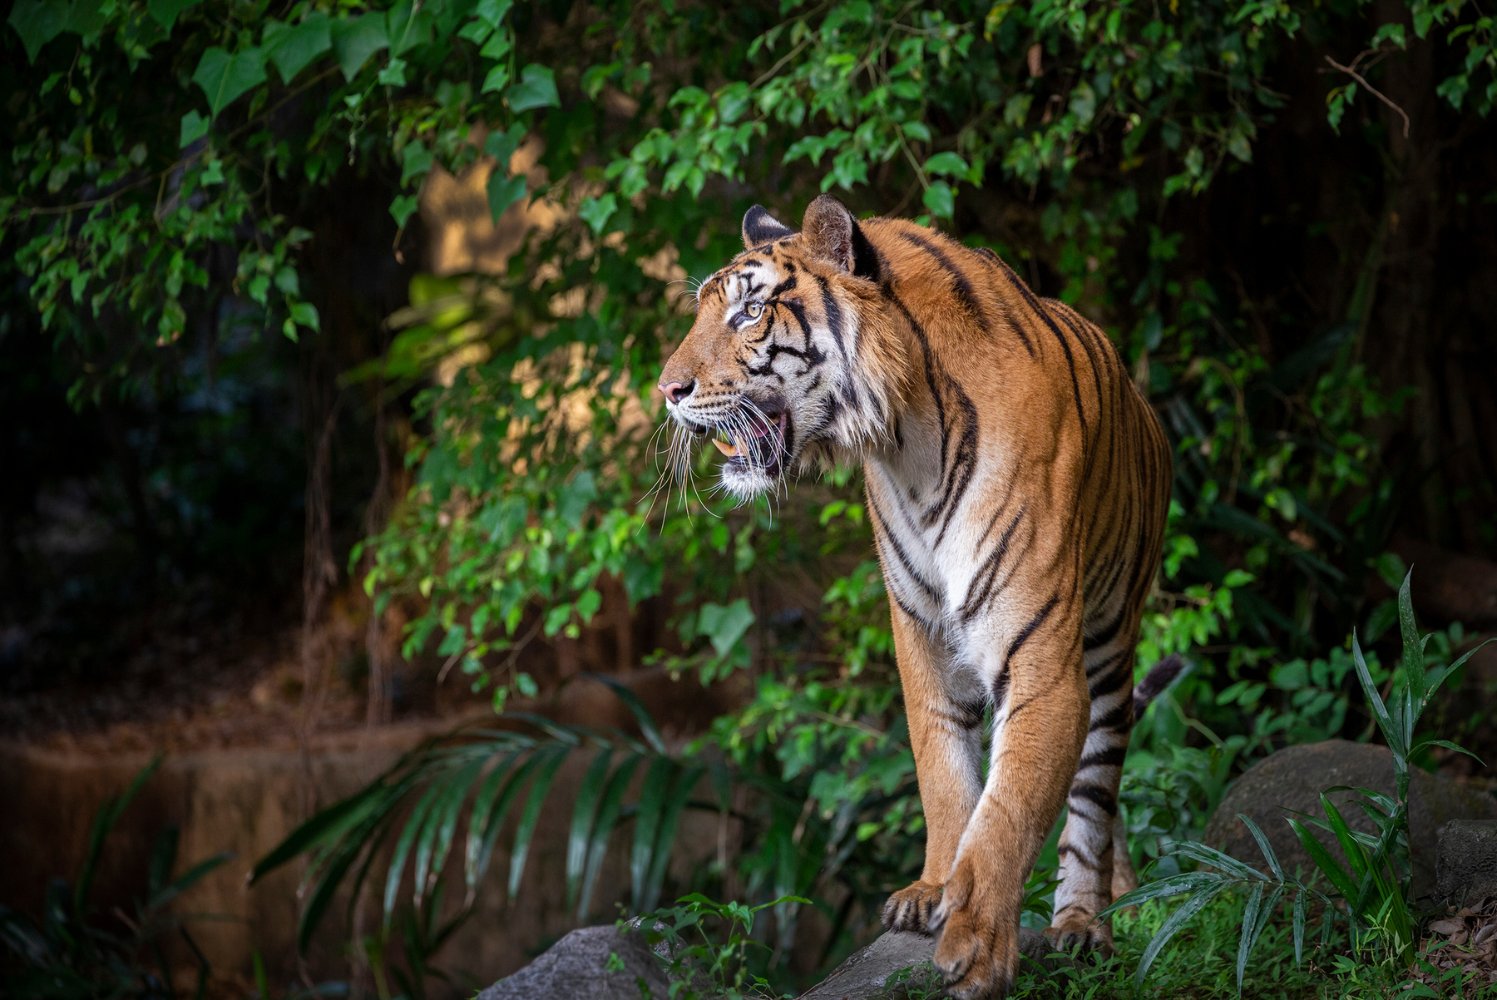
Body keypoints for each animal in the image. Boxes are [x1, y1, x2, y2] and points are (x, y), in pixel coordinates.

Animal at [656, 194, 1175, 998]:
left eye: (749, 313)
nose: (666, 391)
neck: (908, 439)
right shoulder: (921, 631)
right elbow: (943, 770)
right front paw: (932, 892)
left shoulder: (1040, 653)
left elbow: (1011, 806)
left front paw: (976, 945)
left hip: (1110, 642)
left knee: (1094, 790)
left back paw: (1083, 921)